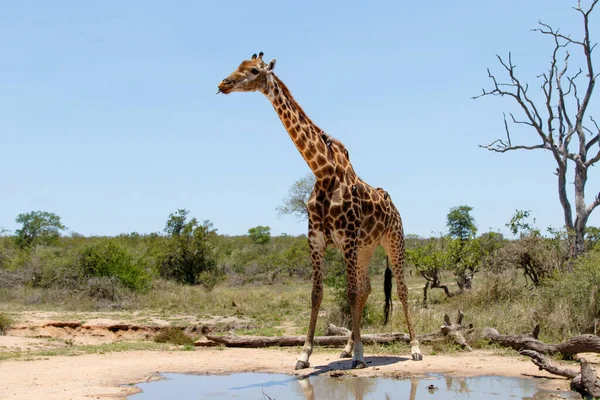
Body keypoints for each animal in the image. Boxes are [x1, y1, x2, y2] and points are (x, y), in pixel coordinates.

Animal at [216, 52, 422, 368]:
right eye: (238, 66)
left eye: (253, 71)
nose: (223, 84)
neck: (323, 173)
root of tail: (395, 208)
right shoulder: (316, 240)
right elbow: (317, 294)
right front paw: (305, 354)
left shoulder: (346, 240)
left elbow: (349, 292)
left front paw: (360, 355)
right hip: (365, 249)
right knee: (367, 288)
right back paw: (347, 348)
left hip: (394, 241)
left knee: (400, 289)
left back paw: (413, 348)